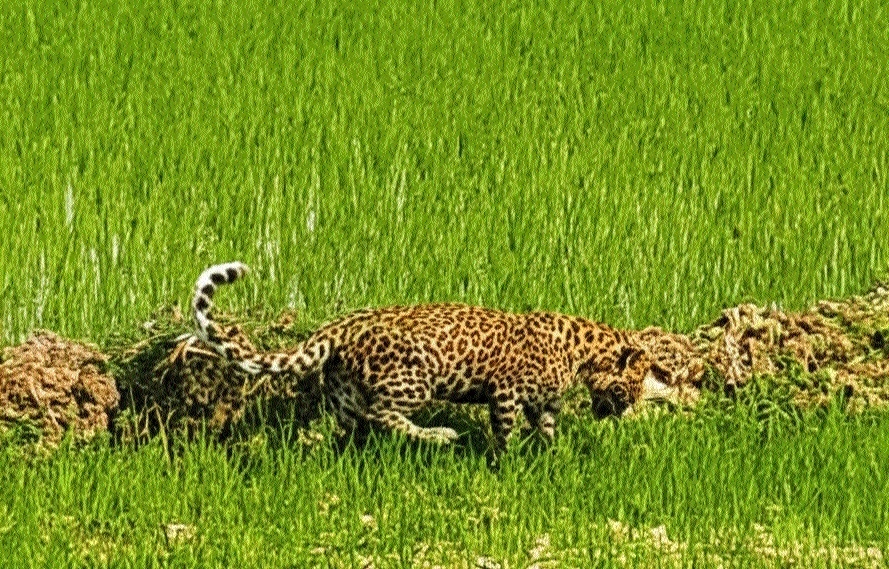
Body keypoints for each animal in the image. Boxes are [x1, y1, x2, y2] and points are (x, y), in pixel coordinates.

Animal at [191, 262, 658, 449]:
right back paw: (440, 436)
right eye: (627, 390)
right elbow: (504, 433)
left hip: (344, 391)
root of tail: (340, 324)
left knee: (354, 425)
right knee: (382, 413)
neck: (583, 352)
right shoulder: (505, 393)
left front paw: (550, 456)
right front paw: (503, 462)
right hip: (415, 380)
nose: (620, 413)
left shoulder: (543, 401)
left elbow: (547, 428)